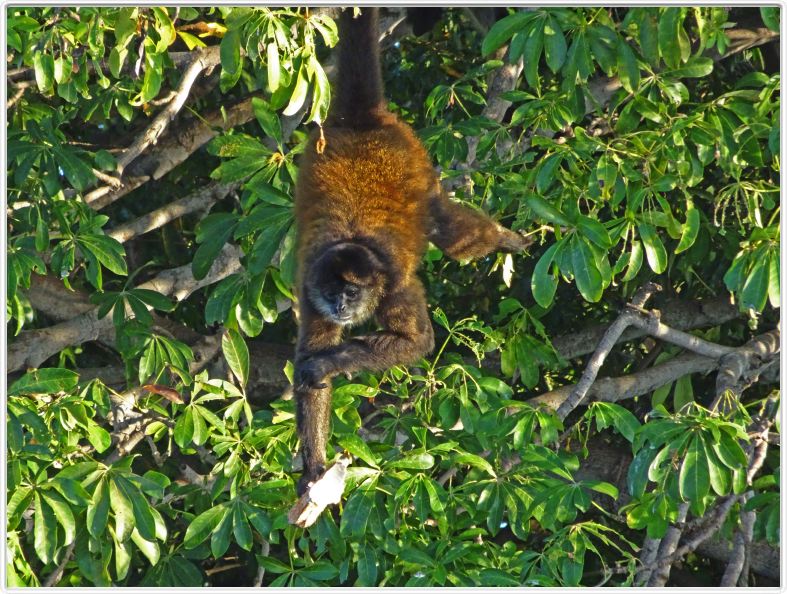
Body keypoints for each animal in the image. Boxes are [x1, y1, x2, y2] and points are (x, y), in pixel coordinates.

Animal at [292, 8, 532, 494]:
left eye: (352, 292)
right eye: (332, 293)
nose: (341, 307)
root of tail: (362, 121)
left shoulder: (393, 285)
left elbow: (417, 341)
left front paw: (328, 364)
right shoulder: (309, 286)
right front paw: (315, 468)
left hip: (416, 161)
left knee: (449, 232)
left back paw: (507, 238)